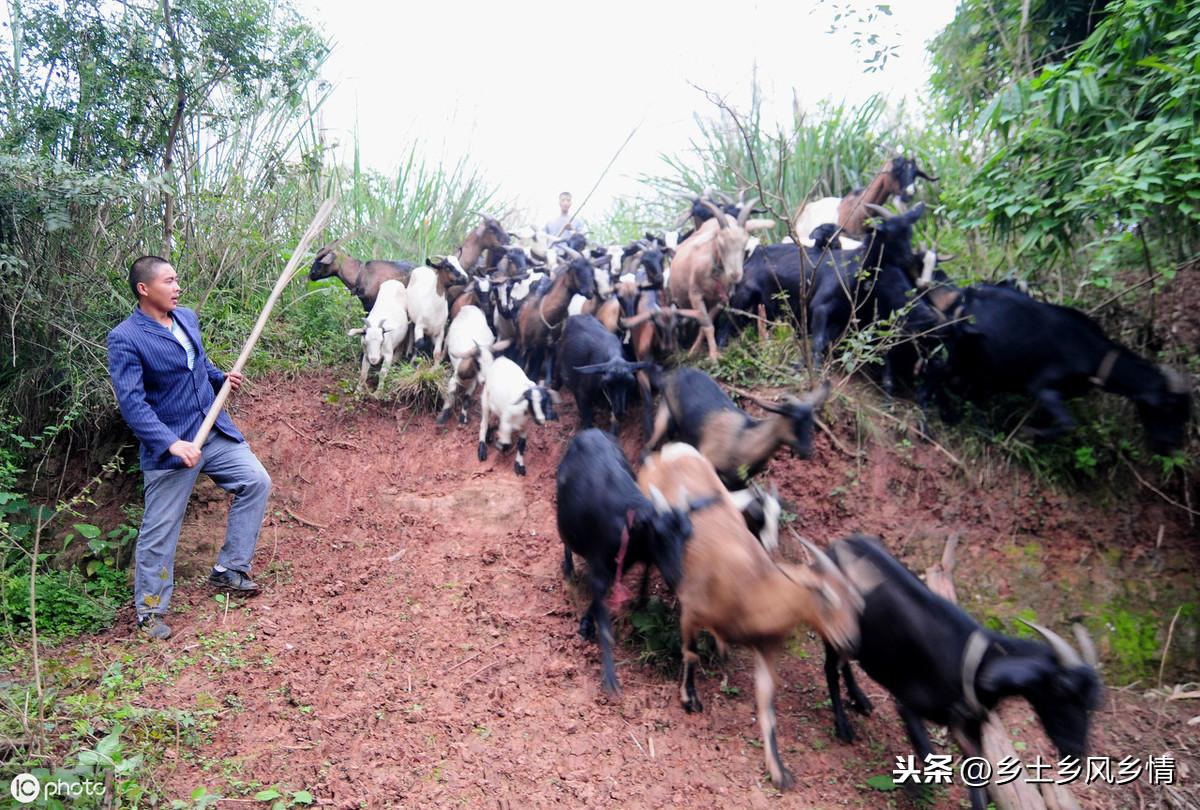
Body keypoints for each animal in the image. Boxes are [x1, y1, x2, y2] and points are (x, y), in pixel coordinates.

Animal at [559, 427, 700, 696]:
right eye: (660, 534)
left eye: (688, 535)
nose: (677, 577)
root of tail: (589, 432)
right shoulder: (600, 566)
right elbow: (604, 623)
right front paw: (610, 677)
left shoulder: (629, 562)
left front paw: (638, 604)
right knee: (566, 541)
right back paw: (569, 568)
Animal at [638, 444, 864, 792]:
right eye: (825, 595)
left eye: (856, 602)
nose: (851, 641)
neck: (755, 587)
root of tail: (673, 450)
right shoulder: (692, 609)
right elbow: (690, 653)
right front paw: (690, 698)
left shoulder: (767, 649)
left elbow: (767, 709)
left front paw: (779, 771)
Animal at [662, 198, 772, 360]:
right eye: (720, 243)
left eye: (744, 244)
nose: (735, 274)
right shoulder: (695, 296)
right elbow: (707, 325)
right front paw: (710, 356)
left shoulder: (720, 300)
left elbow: (707, 325)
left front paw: (706, 351)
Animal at [825, 532, 1099, 810]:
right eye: (1061, 689)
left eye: (1091, 703)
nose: (1076, 752)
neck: (974, 664)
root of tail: (838, 544)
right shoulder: (908, 705)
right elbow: (928, 755)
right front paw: (914, 790)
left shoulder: (971, 727)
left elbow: (977, 784)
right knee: (830, 669)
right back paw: (843, 727)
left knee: (845, 661)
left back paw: (860, 699)